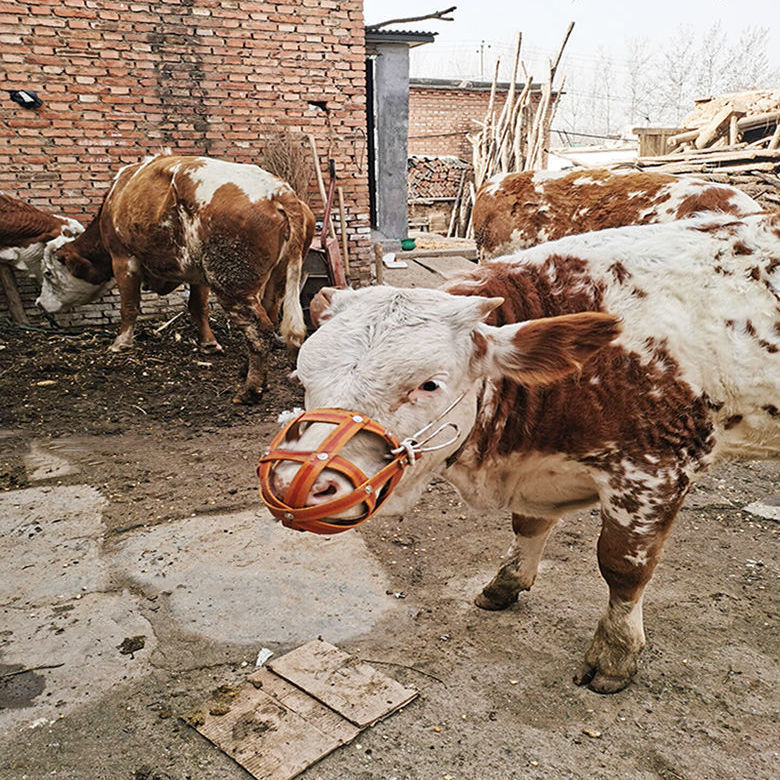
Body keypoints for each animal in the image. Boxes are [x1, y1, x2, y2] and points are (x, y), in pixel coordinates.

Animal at [38, 155, 314, 406]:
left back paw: (250, 390)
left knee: (259, 329)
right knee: (270, 317)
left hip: (231, 284)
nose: (40, 304)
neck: (116, 199)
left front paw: (120, 343)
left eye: (48, 273)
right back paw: (247, 372)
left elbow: (129, 306)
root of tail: (279, 191)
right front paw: (209, 344)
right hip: (276, 279)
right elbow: (198, 307)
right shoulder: (198, 273)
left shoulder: (123, 258)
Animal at [266, 213, 776, 696]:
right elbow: (528, 526)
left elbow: (622, 568)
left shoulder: (654, 473)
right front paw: (506, 583)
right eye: (301, 376)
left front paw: (615, 654)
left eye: (428, 384)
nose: (295, 482)